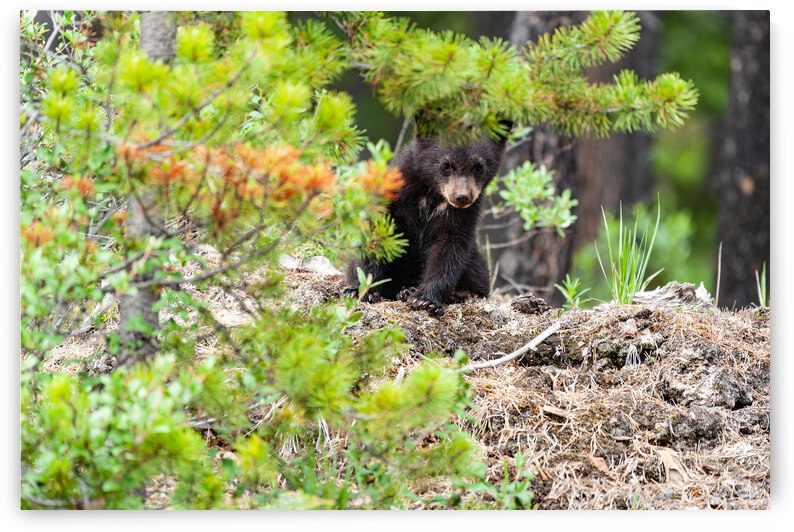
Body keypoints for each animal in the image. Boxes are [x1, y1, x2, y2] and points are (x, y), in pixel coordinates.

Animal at [344, 122, 512, 316]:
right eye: (446, 165)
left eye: (478, 167)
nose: (461, 197)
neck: (432, 195)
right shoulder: (396, 194)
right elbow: (377, 231)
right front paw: (363, 290)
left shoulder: (463, 215)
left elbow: (449, 247)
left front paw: (425, 300)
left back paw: (455, 293)